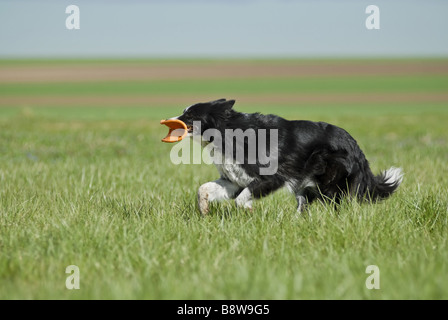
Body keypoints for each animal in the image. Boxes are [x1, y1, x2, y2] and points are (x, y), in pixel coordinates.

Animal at [171, 99, 402, 214]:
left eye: (190, 115)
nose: (169, 119)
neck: (227, 132)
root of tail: (355, 146)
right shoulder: (234, 179)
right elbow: (203, 189)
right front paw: (204, 210)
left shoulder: (271, 178)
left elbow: (241, 199)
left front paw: (248, 210)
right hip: (303, 183)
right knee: (304, 203)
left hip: (327, 180)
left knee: (334, 203)